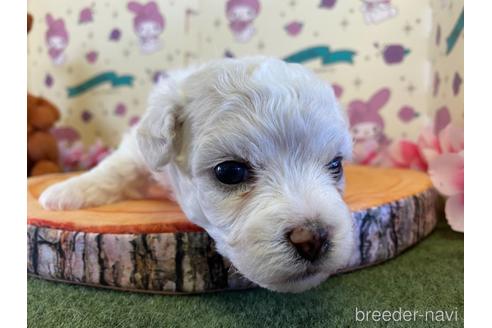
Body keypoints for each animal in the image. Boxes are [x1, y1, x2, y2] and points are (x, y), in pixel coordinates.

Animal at [39, 57, 354, 292]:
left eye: (335, 165)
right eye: (230, 172)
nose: (313, 238)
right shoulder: (140, 151)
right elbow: (115, 169)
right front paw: (63, 192)